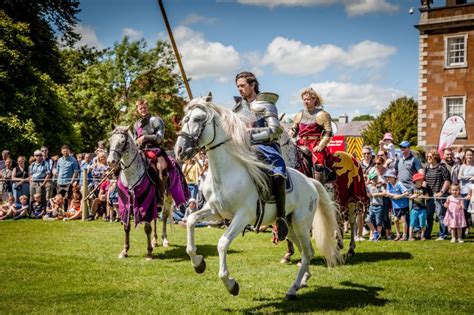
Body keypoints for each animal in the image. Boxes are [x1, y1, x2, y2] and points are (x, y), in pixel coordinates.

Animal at [174, 97, 344, 300]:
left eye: (199, 119)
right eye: (184, 119)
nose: (179, 150)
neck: (226, 173)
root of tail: (310, 181)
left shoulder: (242, 216)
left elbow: (222, 243)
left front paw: (231, 284)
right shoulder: (215, 211)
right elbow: (191, 220)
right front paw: (198, 263)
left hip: (302, 223)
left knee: (308, 251)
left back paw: (292, 288)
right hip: (290, 225)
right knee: (305, 251)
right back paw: (302, 280)